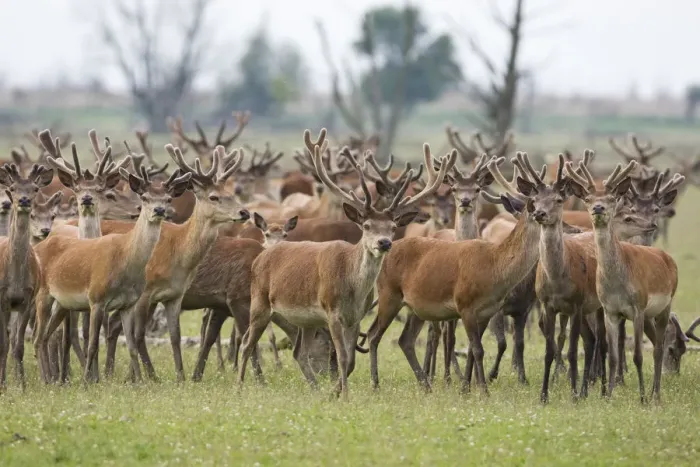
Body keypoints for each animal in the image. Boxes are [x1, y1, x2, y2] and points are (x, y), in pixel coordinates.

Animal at [237, 128, 456, 398]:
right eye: (367, 225)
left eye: (393, 227)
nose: (384, 243)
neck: (352, 288)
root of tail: (261, 257)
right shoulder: (332, 311)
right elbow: (341, 357)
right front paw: (345, 396)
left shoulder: (356, 317)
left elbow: (350, 360)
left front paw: (335, 393)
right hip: (259, 302)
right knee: (247, 342)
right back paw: (239, 386)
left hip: (306, 320)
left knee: (299, 352)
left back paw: (316, 389)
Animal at [565, 159, 680, 403]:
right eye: (588, 199)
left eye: (611, 199)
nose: (598, 208)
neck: (616, 284)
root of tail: (667, 258)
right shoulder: (610, 311)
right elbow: (612, 356)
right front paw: (608, 396)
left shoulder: (637, 307)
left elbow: (637, 355)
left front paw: (642, 398)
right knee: (656, 343)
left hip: (665, 305)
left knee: (658, 347)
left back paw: (656, 394)